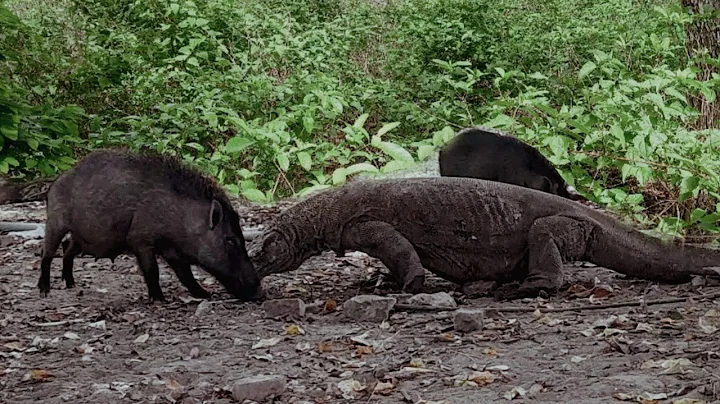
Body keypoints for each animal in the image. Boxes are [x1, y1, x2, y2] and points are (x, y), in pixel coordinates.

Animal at [38, 148, 261, 302]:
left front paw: (205, 295)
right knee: (47, 252)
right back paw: (44, 290)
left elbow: (185, 274)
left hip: (81, 238)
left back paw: (71, 285)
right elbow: (152, 270)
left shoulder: (171, 250)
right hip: (55, 221)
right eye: (231, 240)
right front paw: (159, 299)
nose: (259, 291)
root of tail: (55, 183)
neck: (180, 218)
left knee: (67, 249)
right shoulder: (141, 240)